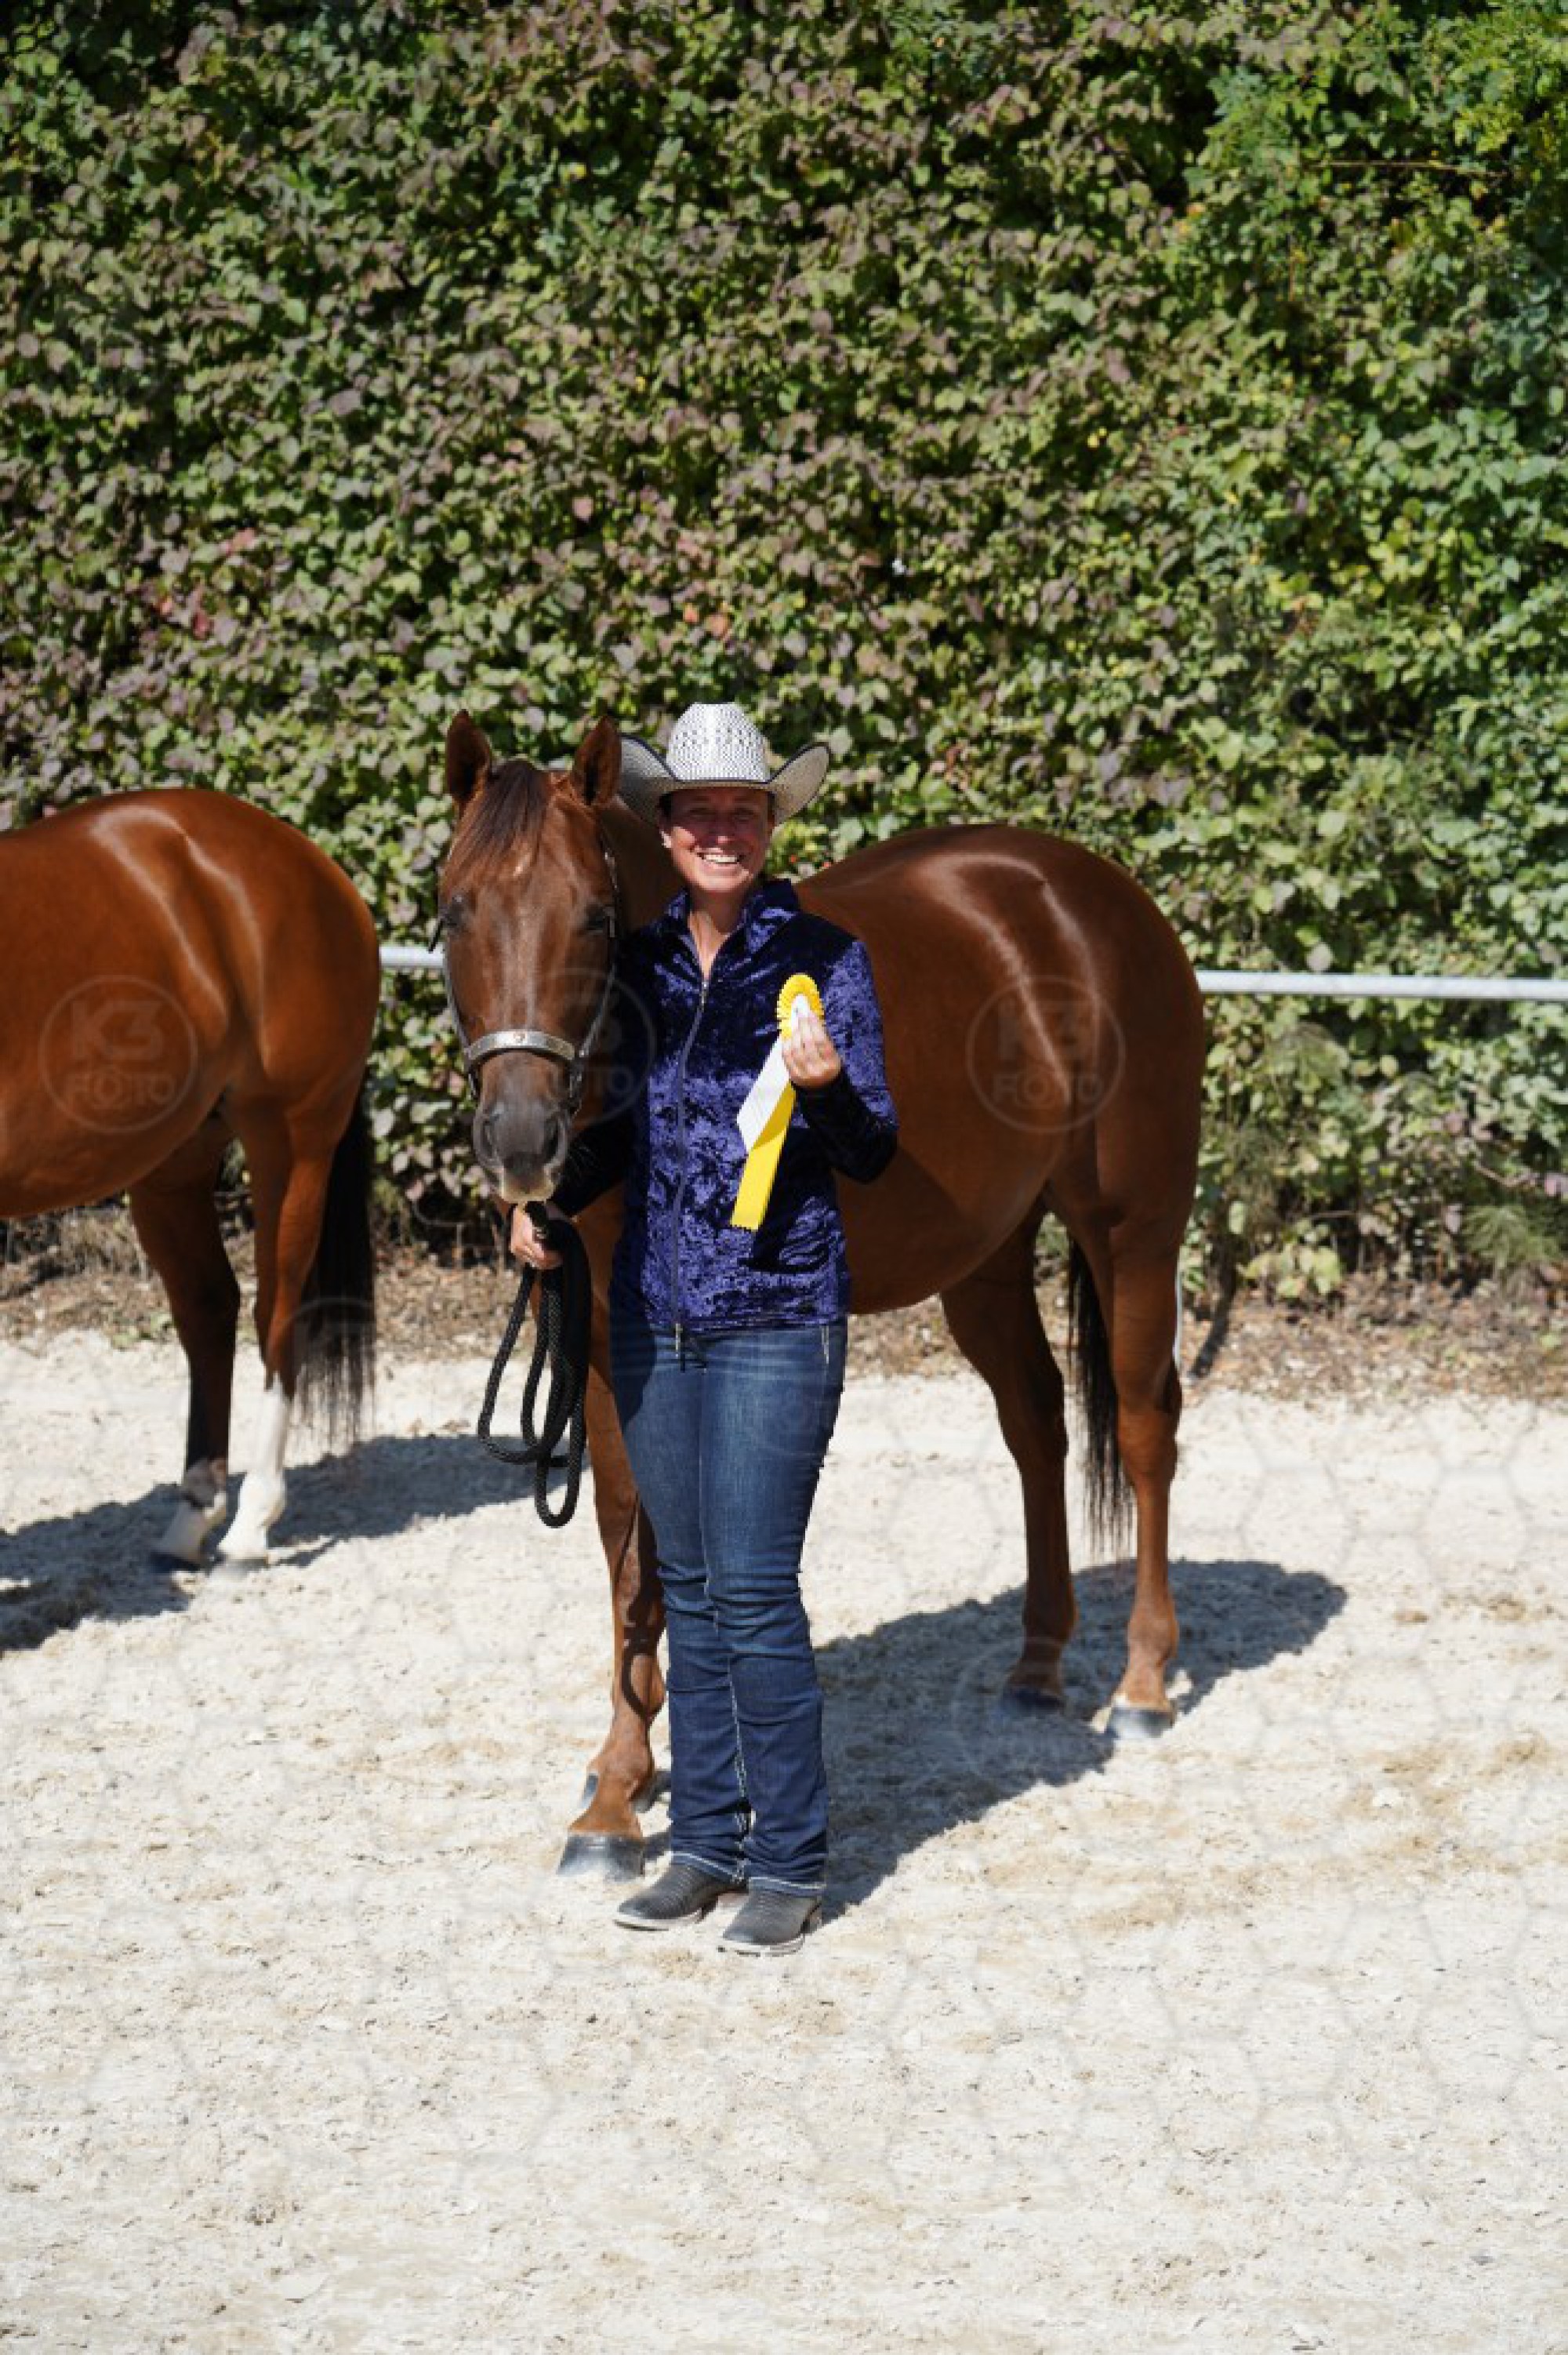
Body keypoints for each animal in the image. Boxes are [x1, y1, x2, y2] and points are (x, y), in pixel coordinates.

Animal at [0, 790, 379, 1563]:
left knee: (276, 1313)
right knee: (209, 1307)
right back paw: (192, 1515)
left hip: (291, 1143)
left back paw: (250, 1523)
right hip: (171, 1166)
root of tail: (314, 864)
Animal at [440, 711, 1204, 1878]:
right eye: (454, 907)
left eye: (594, 916)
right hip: (985, 1256)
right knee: (1037, 1425)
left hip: (1133, 1230)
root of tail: (1100, 900)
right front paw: (619, 1784)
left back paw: (1142, 1684)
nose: (523, 1144)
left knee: (1145, 1421)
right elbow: (627, 1544)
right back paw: (1036, 1664)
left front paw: (629, 1793)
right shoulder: (614, 1340)